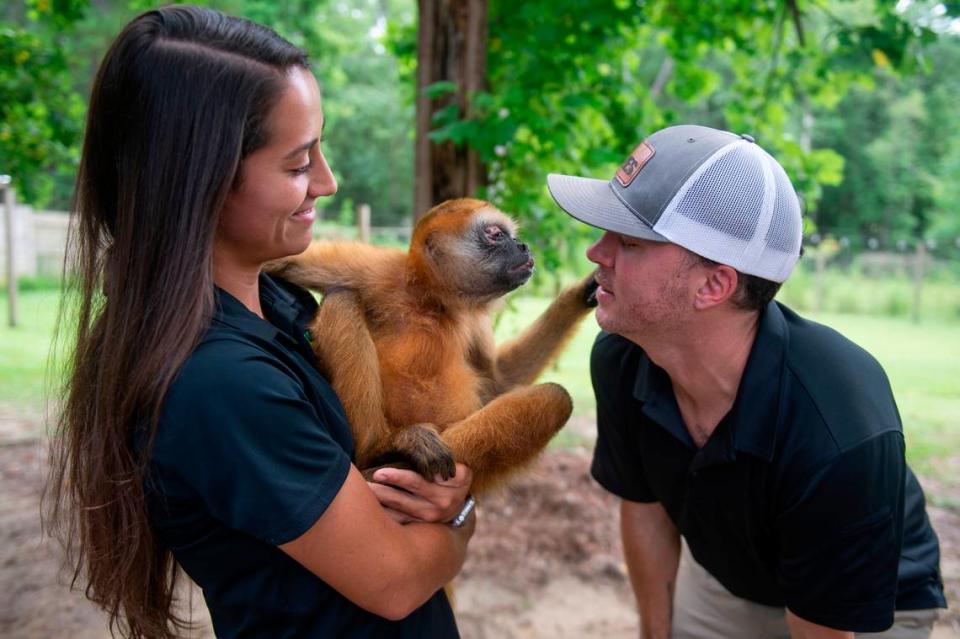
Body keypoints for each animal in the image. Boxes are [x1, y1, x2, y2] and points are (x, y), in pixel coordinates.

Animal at [270, 198, 596, 498]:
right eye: (495, 235)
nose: (523, 246)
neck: (433, 302)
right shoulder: (381, 271)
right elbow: (286, 265)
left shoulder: (473, 318)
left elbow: (500, 382)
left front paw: (581, 294)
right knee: (342, 299)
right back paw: (383, 448)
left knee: (555, 398)